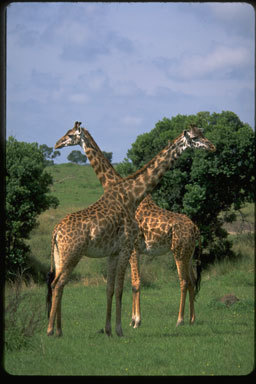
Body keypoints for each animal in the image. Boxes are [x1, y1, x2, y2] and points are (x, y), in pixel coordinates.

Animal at [47, 124, 214, 338]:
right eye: (195, 137)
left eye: (201, 135)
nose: (212, 146)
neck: (130, 193)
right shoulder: (129, 248)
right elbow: (126, 286)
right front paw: (127, 324)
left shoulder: (124, 249)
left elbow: (119, 287)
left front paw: (120, 326)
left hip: (181, 252)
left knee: (186, 281)